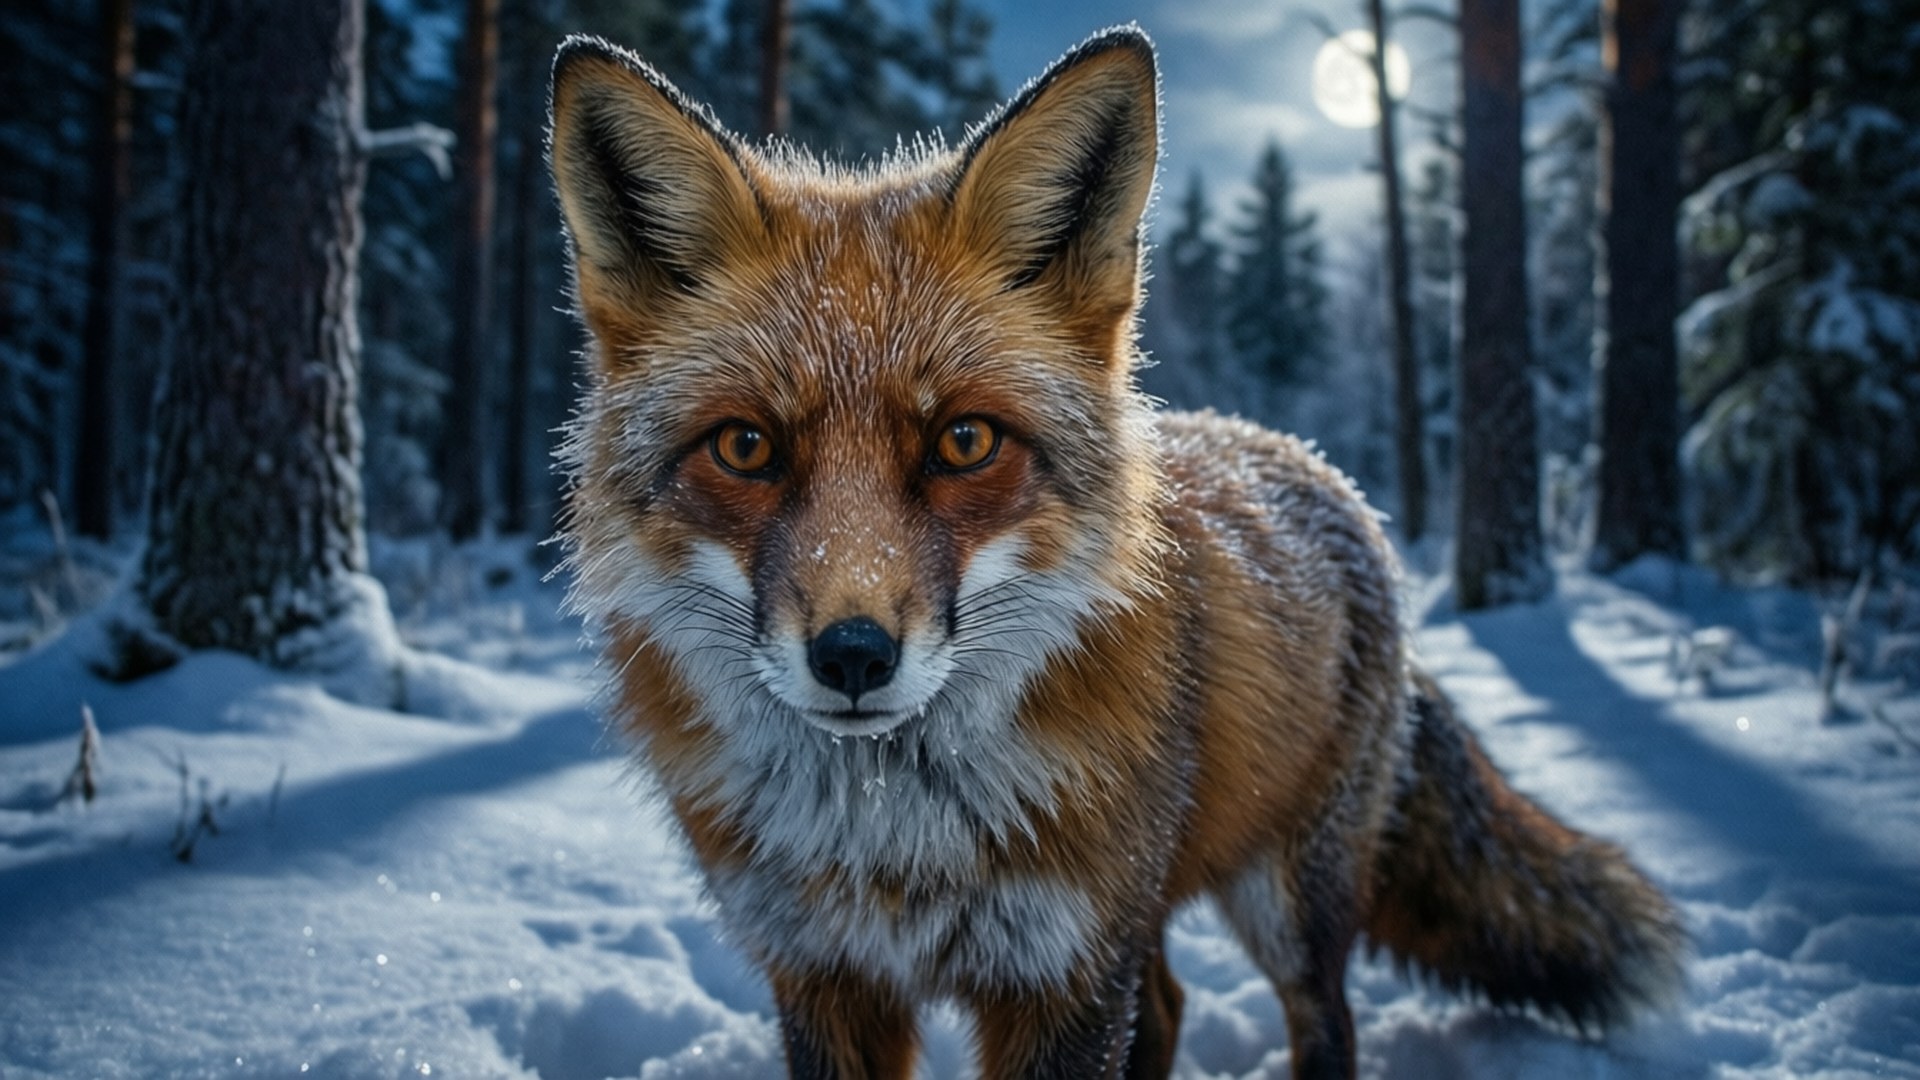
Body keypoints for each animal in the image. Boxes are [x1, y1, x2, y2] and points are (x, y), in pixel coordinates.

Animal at [547, 25, 1686, 1080]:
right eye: (746, 446)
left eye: (965, 441)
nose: (854, 656)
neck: (894, 840)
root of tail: (1321, 471)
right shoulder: (827, 976)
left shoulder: (1065, 973)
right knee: (1172, 1005)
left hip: (1280, 900)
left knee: (1325, 1020)